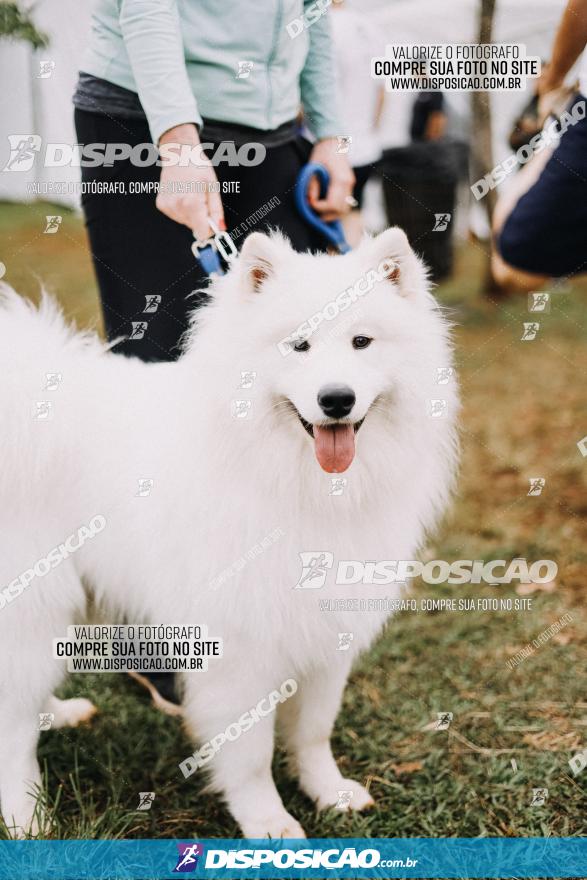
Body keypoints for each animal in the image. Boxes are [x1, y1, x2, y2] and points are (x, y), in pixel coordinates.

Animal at [0, 227, 460, 840]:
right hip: (34, 604)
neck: (295, 482)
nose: (336, 399)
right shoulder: (240, 647)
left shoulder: (326, 629)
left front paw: (329, 791)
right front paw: (268, 821)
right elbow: (250, 754)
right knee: (11, 732)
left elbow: (314, 730)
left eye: (362, 341)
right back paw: (28, 819)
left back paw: (59, 713)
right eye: (298, 346)